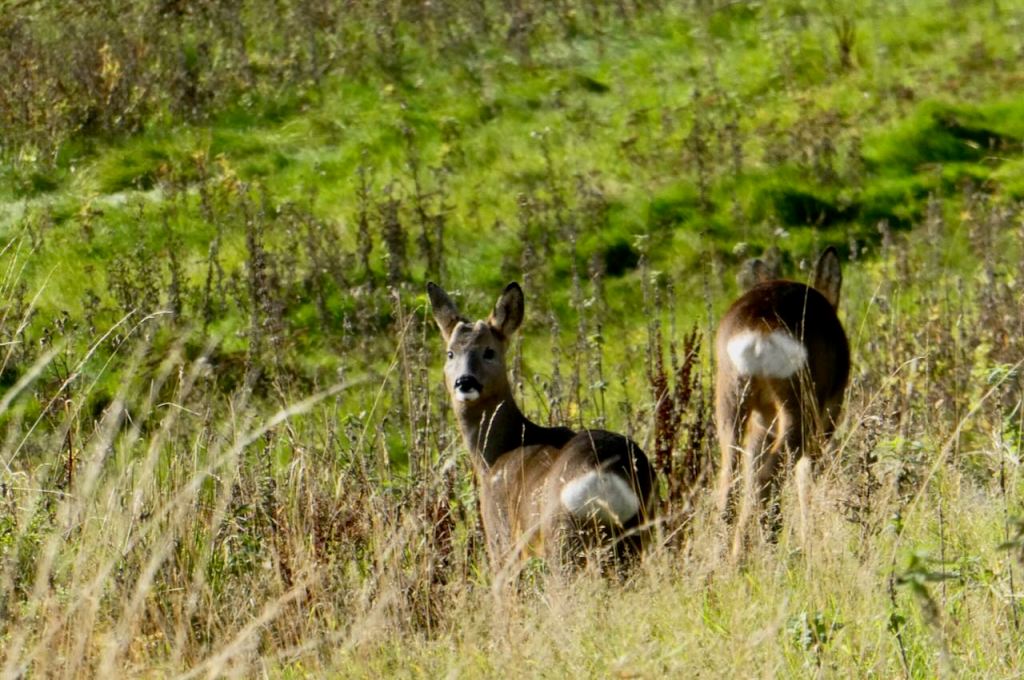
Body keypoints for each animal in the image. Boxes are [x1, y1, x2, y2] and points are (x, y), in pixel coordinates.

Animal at [427, 281, 657, 576]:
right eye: (450, 353)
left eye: (489, 351)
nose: (464, 382)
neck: (496, 454)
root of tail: (607, 474)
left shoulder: (500, 530)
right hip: (638, 530)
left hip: (561, 535)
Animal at [715, 247, 850, 557]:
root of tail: (759, 328)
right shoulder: (825, 419)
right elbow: (806, 478)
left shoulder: (762, 423)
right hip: (798, 408)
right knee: (768, 480)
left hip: (731, 400)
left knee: (732, 481)